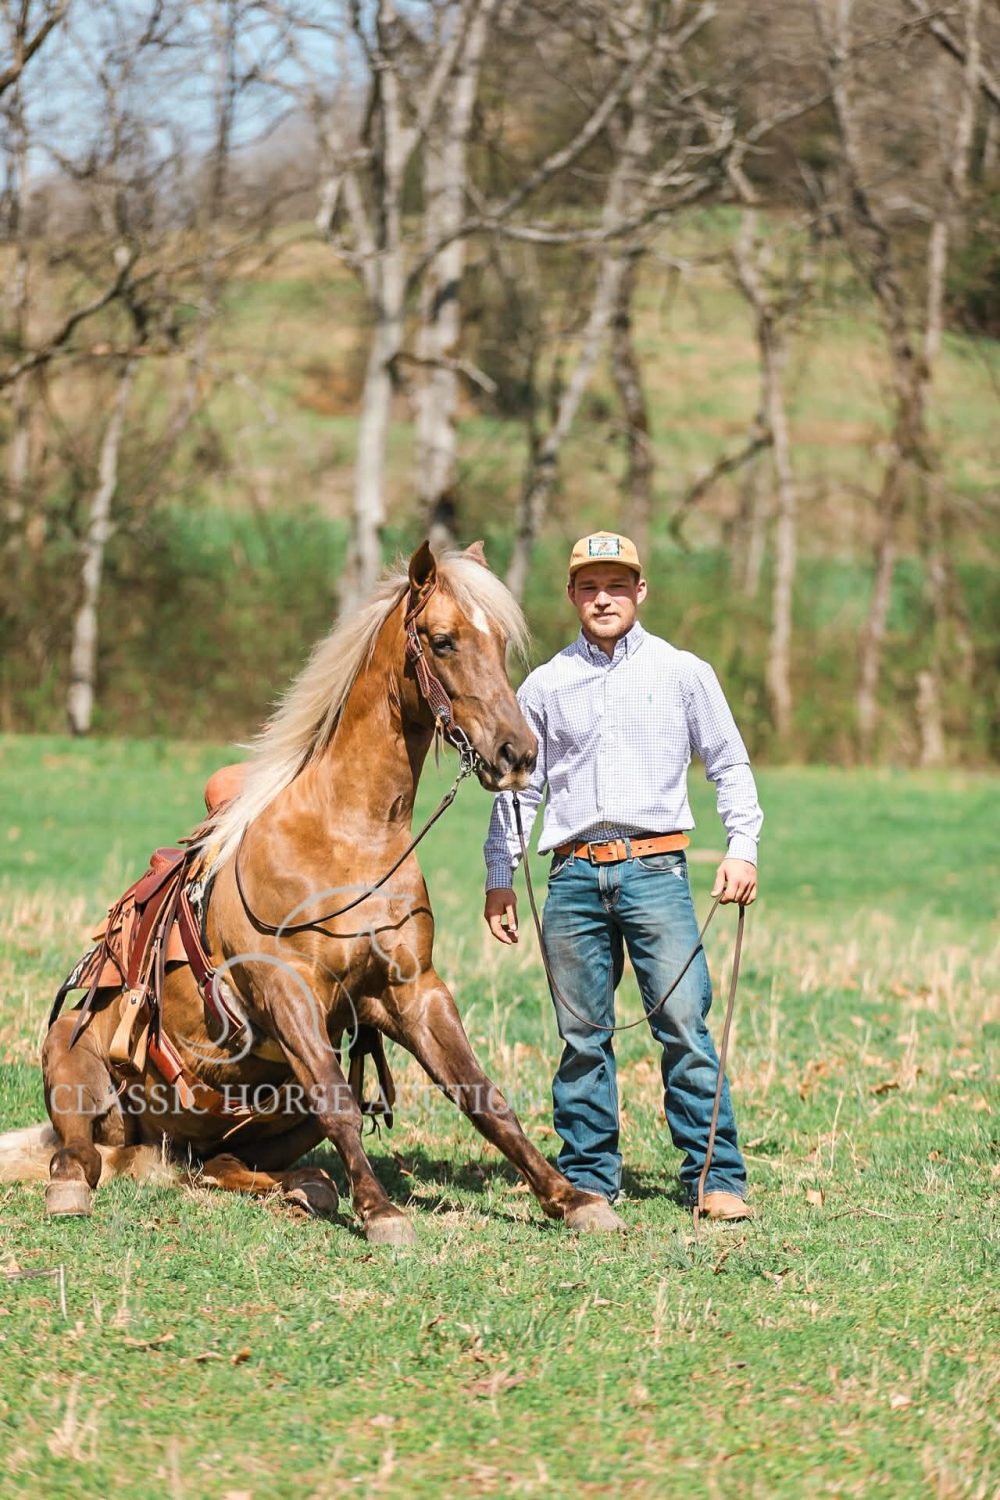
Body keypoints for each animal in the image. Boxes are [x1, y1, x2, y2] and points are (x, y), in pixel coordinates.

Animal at [11, 541, 623, 1242]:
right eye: (442, 641)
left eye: (498, 642)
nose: (517, 753)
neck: (345, 839)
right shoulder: (289, 991)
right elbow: (340, 1101)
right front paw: (382, 1211)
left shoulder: (413, 991)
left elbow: (482, 1096)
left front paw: (570, 1198)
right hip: (72, 1060)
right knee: (79, 1152)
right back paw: (72, 1186)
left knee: (221, 1166)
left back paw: (307, 1188)